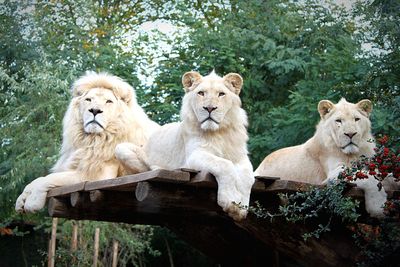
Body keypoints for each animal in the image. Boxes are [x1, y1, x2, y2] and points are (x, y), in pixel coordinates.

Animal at [15, 71, 159, 214]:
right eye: (88, 100)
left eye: (109, 101)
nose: (95, 110)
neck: (92, 140)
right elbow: (37, 180)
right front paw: (21, 200)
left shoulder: (97, 176)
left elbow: (48, 179)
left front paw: (33, 202)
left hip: (124, 151)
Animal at [115, 70, 255, 221]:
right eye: (201, 93)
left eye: (221, 94)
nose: (209, 108)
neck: (219, 132)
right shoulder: (193, 157)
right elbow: (225, 165)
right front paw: (230, 201)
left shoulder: (240, 157)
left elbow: (248, 177)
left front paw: (241, 208)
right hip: (121, 148)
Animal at [256, 99, 390, 219]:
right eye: (338, 121)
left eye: (356, 119)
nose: (350, 134)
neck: (354, 153)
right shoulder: (333, 173)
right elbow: (367, 178)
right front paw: (378, 207)